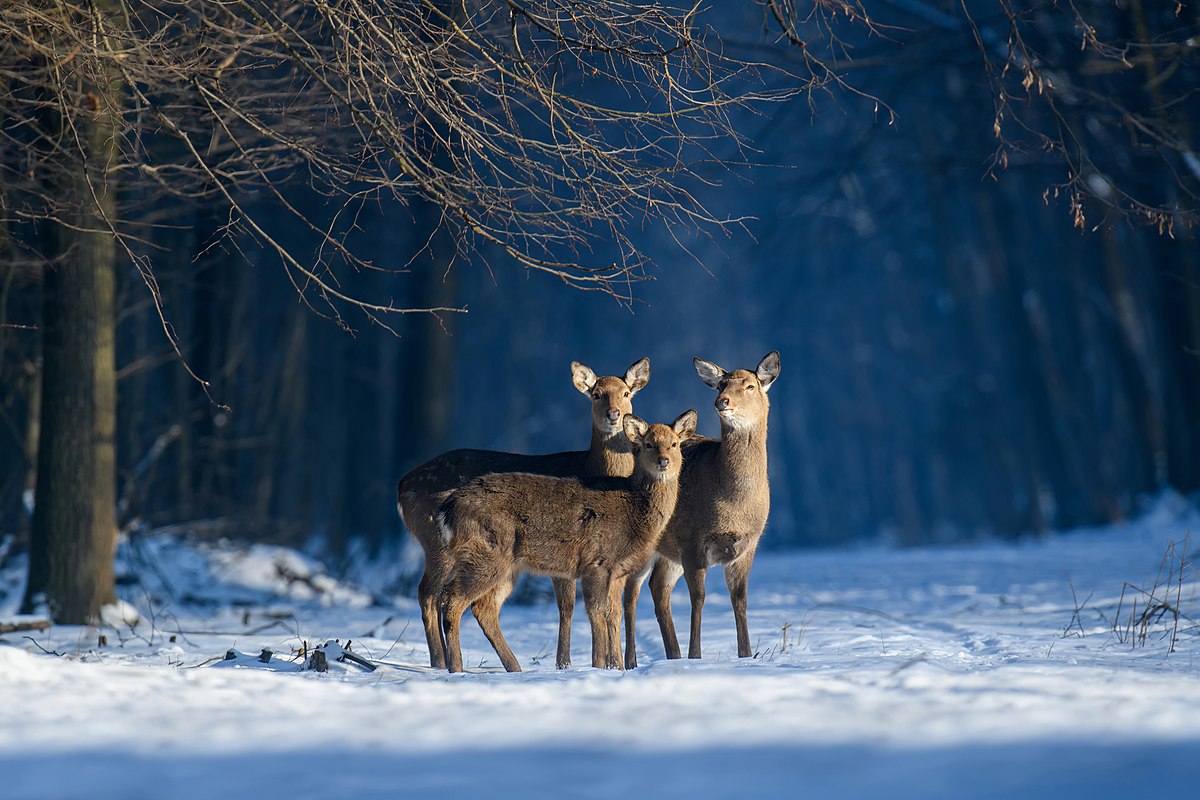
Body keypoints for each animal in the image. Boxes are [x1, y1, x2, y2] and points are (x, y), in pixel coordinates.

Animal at [398, 357, 652, 671]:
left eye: (626, 393)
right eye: (596, 394)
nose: (614, 414)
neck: (592, 468)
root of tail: (401, 485)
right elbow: (568, 605)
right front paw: (566, 663)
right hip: (437, 542)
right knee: (429, 593)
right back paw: (440, 661)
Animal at [434, 410, 696, 671]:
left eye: (674, 444)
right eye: (648, 444)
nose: (664, 461)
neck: (633, 512)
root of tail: (448, 510)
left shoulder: (618, 572)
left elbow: (614, 614)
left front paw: (618, 667)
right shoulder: (596, 562)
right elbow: (597, 613)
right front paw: (600, 665)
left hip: (507, 567)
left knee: (484, 608)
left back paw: (514, 668)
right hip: (486, 554)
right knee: (452, 600)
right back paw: (457, 668)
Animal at [624, 350, 782, 671]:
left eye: (750, 386)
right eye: (721, 384)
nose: (722, 402)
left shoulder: (748, 545)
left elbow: (740, 599)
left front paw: (746, 654)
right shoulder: (692, 541)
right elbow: (698, 598)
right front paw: (695, 655)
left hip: (667, 553)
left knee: (658, 589)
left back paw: (672, 654)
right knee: (630, 594)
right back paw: (632, 660)